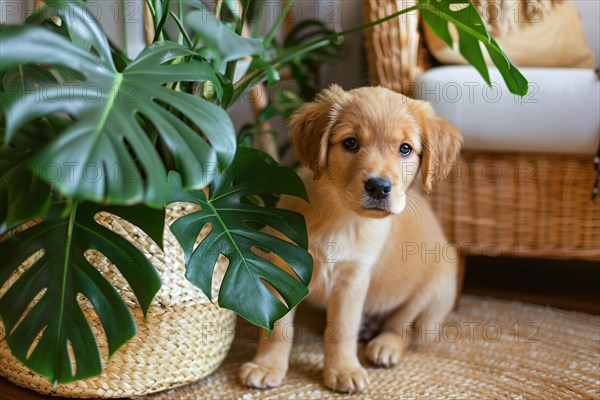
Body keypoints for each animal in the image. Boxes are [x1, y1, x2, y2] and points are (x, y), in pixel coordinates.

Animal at [239, 85, 464, 394]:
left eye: (405, 148)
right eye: (350, 143)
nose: (379, 187)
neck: (340, 216)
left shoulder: (353, 278)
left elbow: (343, 328)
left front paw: (343, 369)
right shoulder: (284, 267)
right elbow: (279, 326)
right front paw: (267, 365)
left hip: (437, 289)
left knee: (403, 326)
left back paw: (385, 346)